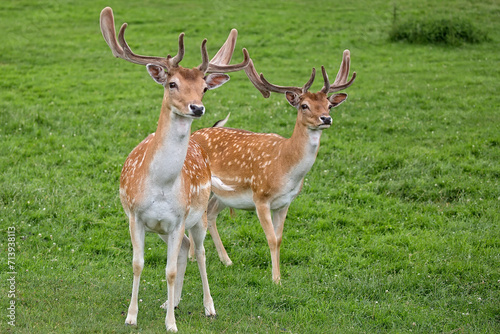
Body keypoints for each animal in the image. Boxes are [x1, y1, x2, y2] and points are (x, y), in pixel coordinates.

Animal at [99, 7, 250, 332]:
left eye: (204, 88)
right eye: (172, 84)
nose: (197, 108)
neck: (161, 184)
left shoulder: (179, 218)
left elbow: (168, 270)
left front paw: (170, 324)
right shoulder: (136, 216)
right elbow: (138, 263)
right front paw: (132, 316)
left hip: (200, 214)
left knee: (200, 252)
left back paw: (208, 307)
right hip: (162, 229)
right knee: (184, 249)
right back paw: (174, 302)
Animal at [190, 51, 356, 284]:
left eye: (328, 105)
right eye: (304, 105)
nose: (326, 118)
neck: (285, 166)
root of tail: (194, 134)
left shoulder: (285, 202)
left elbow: (279, 238)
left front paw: (279, 276)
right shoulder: (261, 197)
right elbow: (270, 238)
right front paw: (275, 279)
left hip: (222, 194)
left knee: (210, 214)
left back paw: (225, 260)